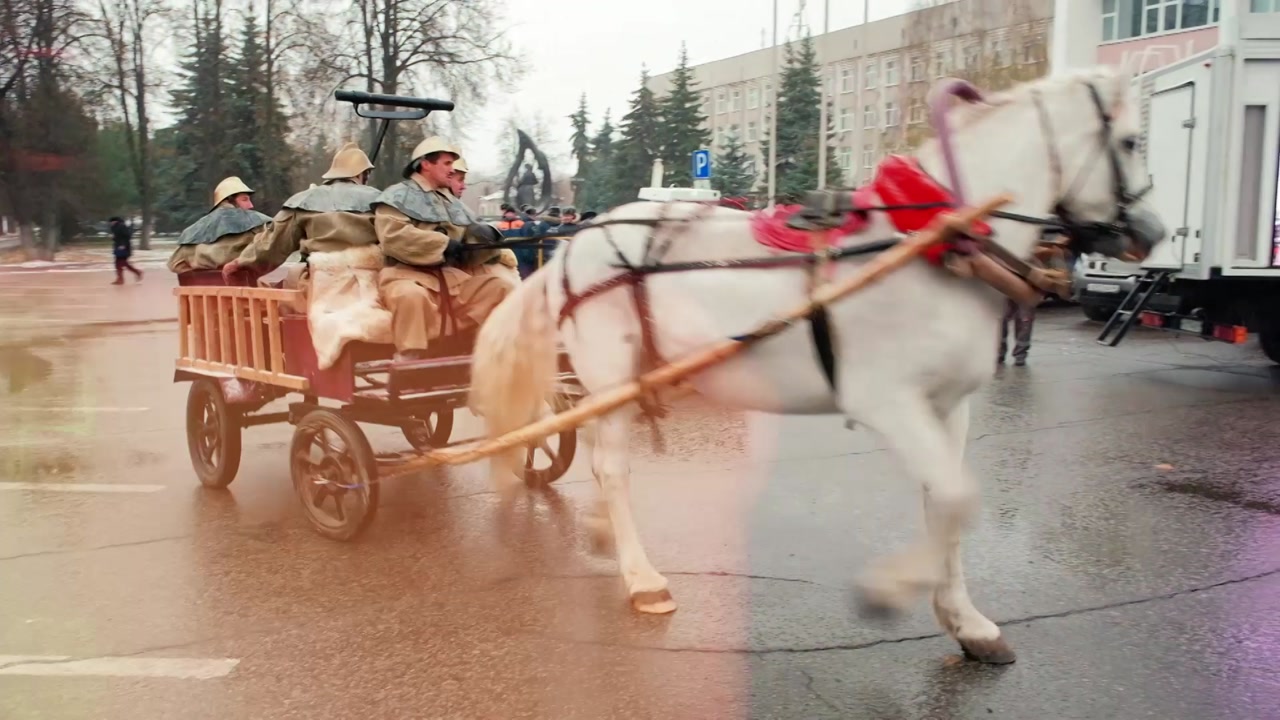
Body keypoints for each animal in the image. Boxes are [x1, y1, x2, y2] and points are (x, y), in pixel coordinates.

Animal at [473, 67, 1172, 661]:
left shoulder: (951, 407)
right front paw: (890, 590)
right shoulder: (889, 402)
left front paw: (966, 620)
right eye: (1132, 140)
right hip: (609, 366)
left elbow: (945, 504)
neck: (935, 241)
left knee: (593, 445)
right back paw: (642, 577)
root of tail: (573, 246)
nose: (1154, 231)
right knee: (612, 465)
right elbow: (955, 498)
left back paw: (600, 531)